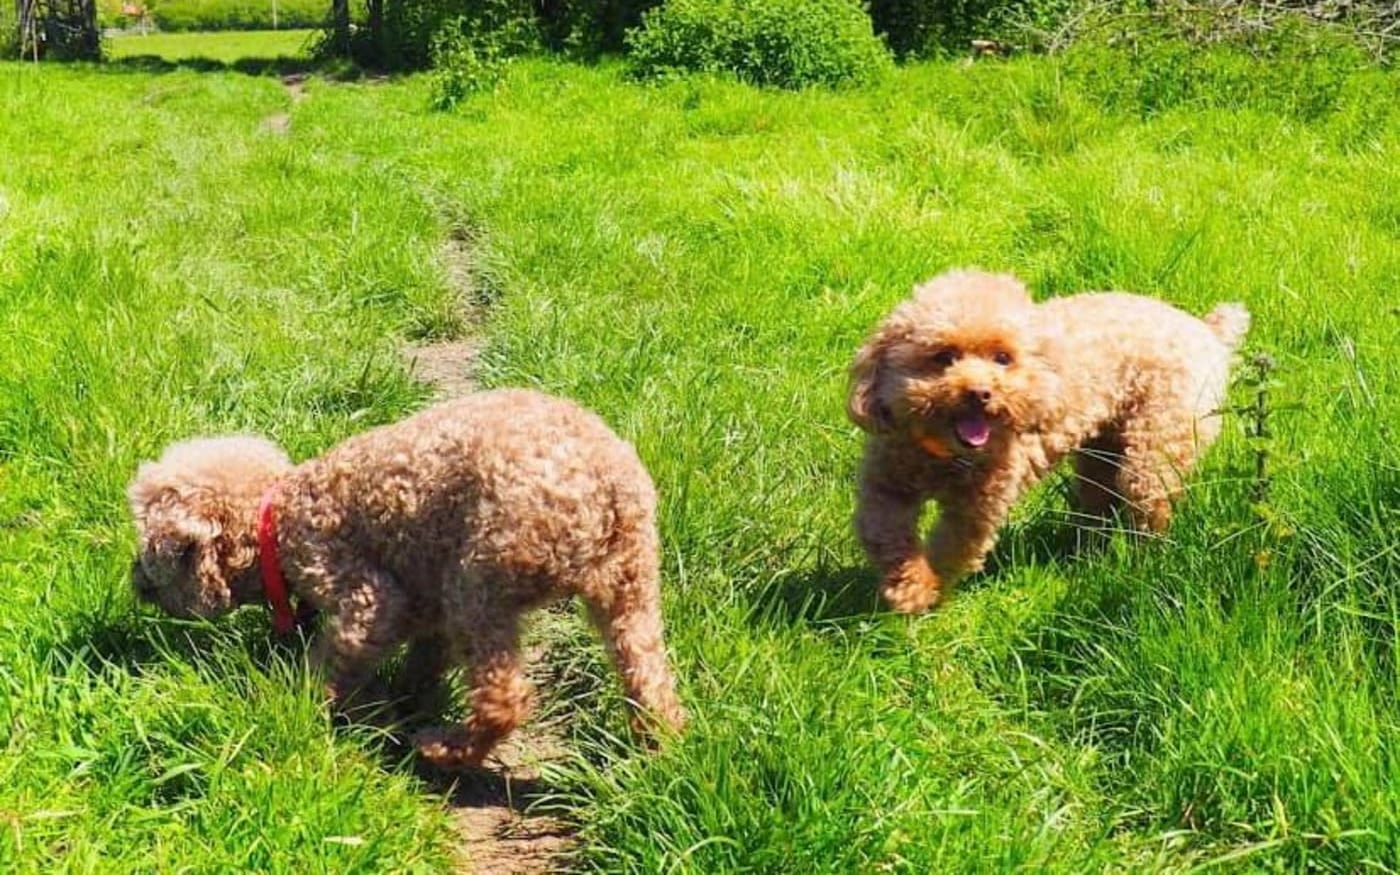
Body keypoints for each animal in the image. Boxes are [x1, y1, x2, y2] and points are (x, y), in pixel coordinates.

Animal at [128, 386, 686, 761]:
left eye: (152, 552)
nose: (135, 581)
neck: (275, 520)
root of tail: (607, 483)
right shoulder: (425, 605)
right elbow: (423, 660)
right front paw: (401, 701)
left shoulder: (367, 595)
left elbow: (338, 658)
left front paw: (301, 701)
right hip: (631, 584)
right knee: (651, 680)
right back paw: (659, 749)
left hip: (480, 582)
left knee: (504, 698)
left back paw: (446, 748)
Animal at [845, 270, 1254, 610]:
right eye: (943, 356)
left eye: (1003, 358)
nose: (979, 393)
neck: (944, 455)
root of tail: (1207, 331)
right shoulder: (885, 485)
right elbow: (885, 535)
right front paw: (909, 588)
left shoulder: (977, 507)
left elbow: (952, 548)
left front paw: (929, 591)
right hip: (1101, 452)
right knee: (1100, 500)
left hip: (1156, 447)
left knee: (1150, 507)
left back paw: (1141, 564)